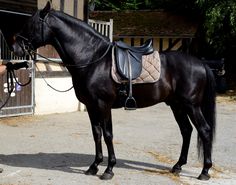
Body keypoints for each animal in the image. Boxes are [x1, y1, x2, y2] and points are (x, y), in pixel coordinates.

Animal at [11, 1, 216, 181]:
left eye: (31, 25)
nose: (15, 48)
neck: (92, 59)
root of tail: (201, 63)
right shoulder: (91, 106)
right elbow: (97, 134)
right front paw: (94, 166)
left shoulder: (103, 105)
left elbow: (108, 135)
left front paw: (108, 169)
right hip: (177, 105)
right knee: (186, 131)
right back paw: (177, 166)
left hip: (191, 105)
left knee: (204, 130)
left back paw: (205, 171)